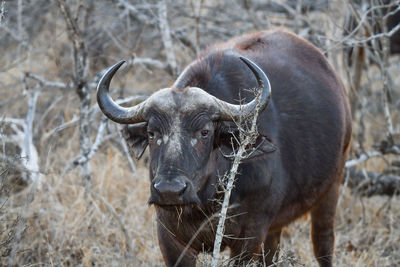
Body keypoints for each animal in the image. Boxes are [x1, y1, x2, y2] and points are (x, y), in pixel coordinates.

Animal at [96, 28, 350, 266]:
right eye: (152, 133)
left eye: (204, 132)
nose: (170, 190)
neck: (203, 202)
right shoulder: (169, 237)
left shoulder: (250, 235)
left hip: (331, 190)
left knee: (323, 244)